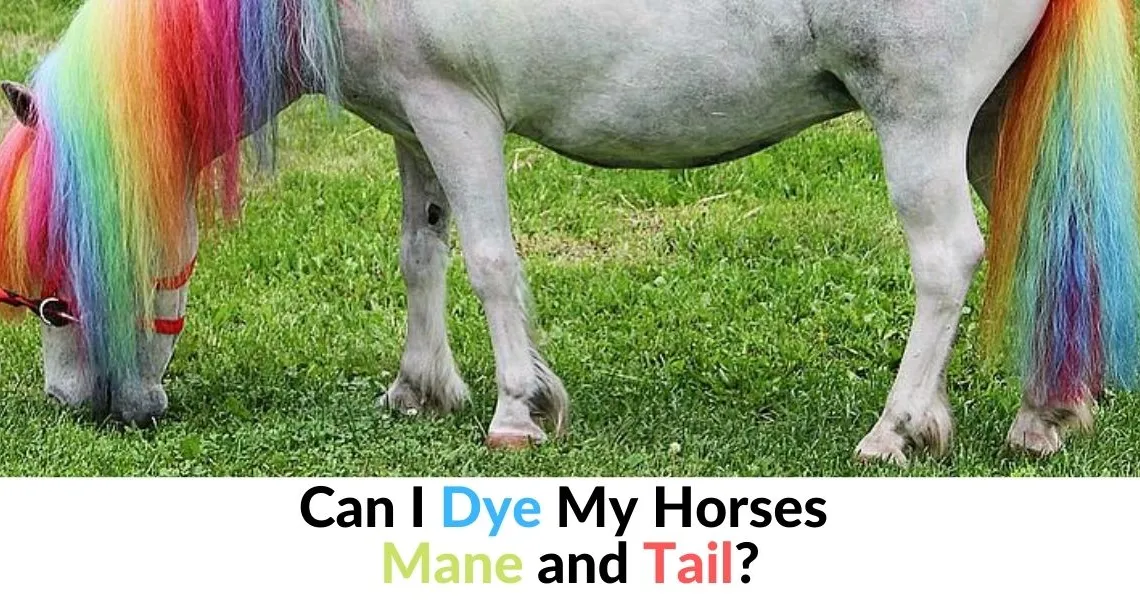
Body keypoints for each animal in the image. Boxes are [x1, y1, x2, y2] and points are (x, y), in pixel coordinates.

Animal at [0, 0, 1136, 466]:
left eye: (55, 301)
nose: (83, 410)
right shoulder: (412, 124)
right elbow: (421, 252)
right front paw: (421, 389)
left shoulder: (456, 111)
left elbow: (492, 263)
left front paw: (518, 410)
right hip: (994, 122)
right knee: (1054, 235)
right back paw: (1048, 414)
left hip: (923, 118)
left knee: (948, 262)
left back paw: (899, 429)